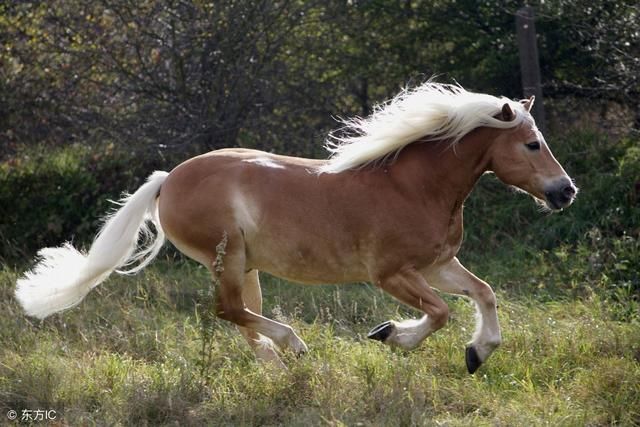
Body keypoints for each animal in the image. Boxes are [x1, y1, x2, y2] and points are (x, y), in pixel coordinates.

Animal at [15, 83, 576, 374]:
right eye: (531, 144)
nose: (565, 192)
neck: (414, 186)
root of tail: (167, 179)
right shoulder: (392, 274)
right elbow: (439, 314)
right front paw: (391, 336)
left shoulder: (437, 264)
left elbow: (484, 294)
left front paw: (477, 353)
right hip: (229, 257)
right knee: (228, 310)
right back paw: (295, 347)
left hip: (246, 266)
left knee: (240, 316)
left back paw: (277, 363)